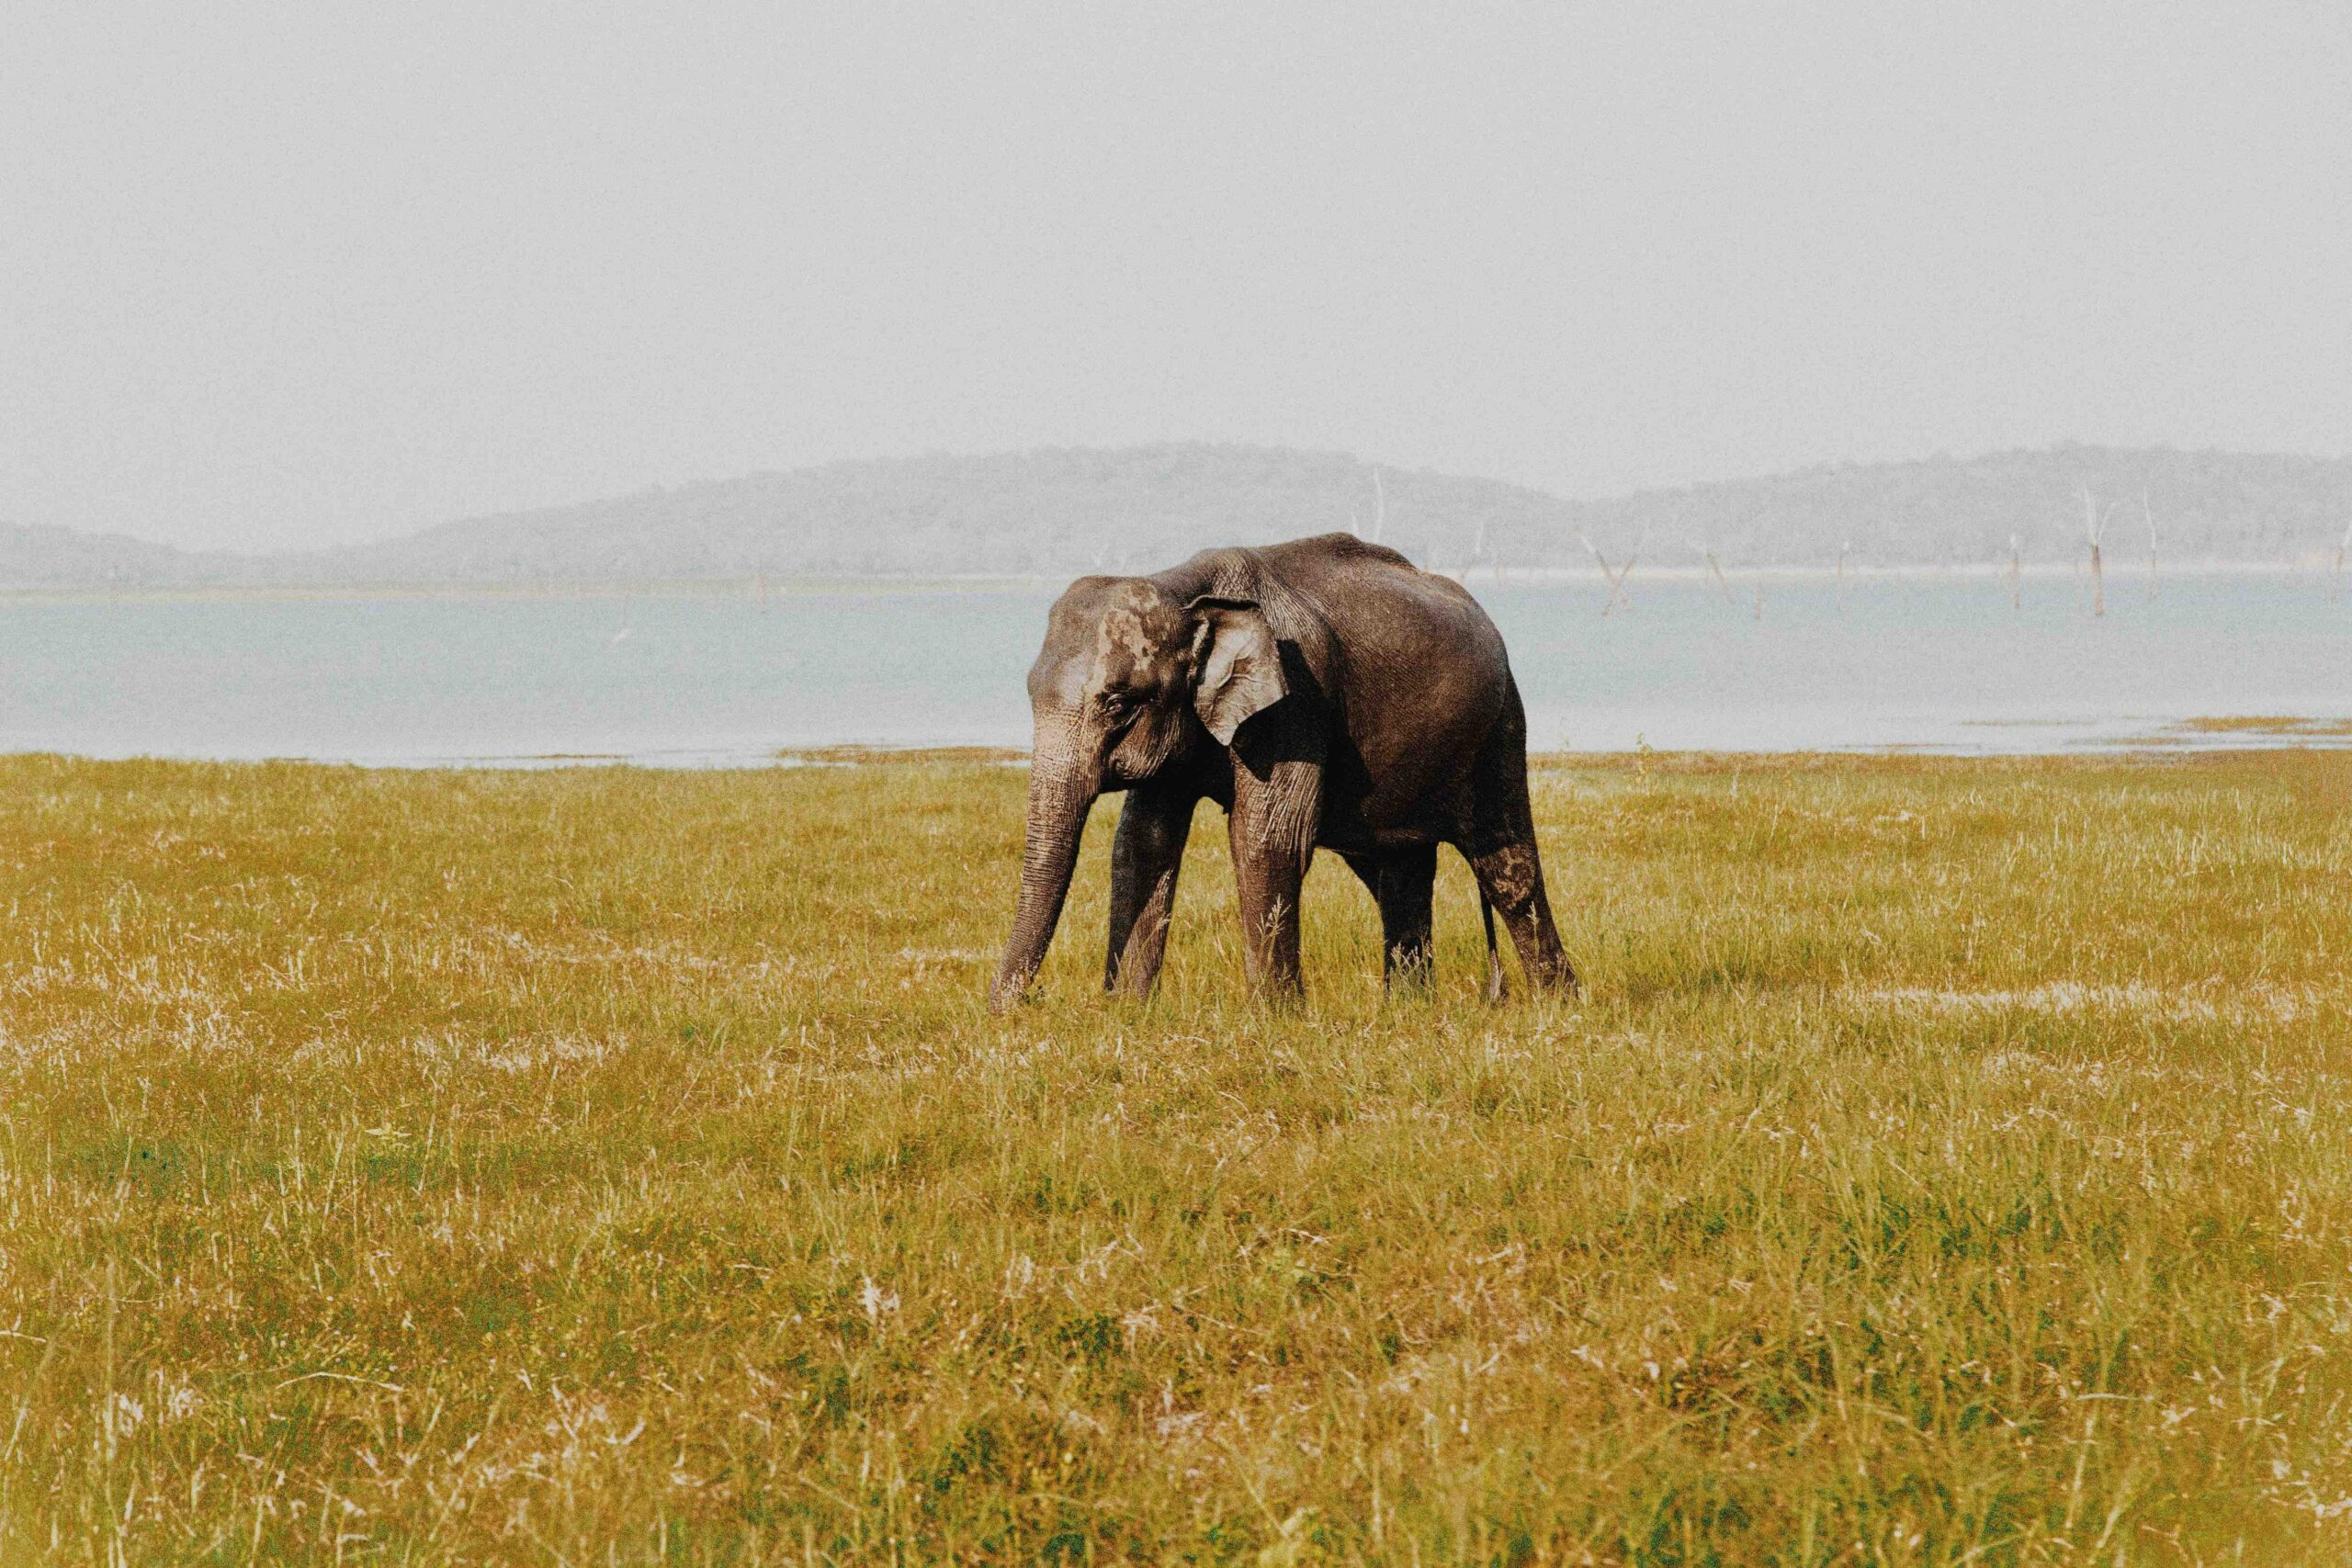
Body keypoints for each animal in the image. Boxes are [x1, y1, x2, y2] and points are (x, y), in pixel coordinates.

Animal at [988, 532, 1577, 1010]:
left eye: (1116, 704)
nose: (1024, 1004)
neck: (1184, 588)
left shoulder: (1295, 699)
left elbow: (1267, 839)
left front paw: (1275, 1018)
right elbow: (1142, 844)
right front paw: (1128, 1013)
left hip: (1499, 725)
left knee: (1505, 865)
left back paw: (1557, 1006)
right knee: (1396, 873)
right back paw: (1410, 1009)